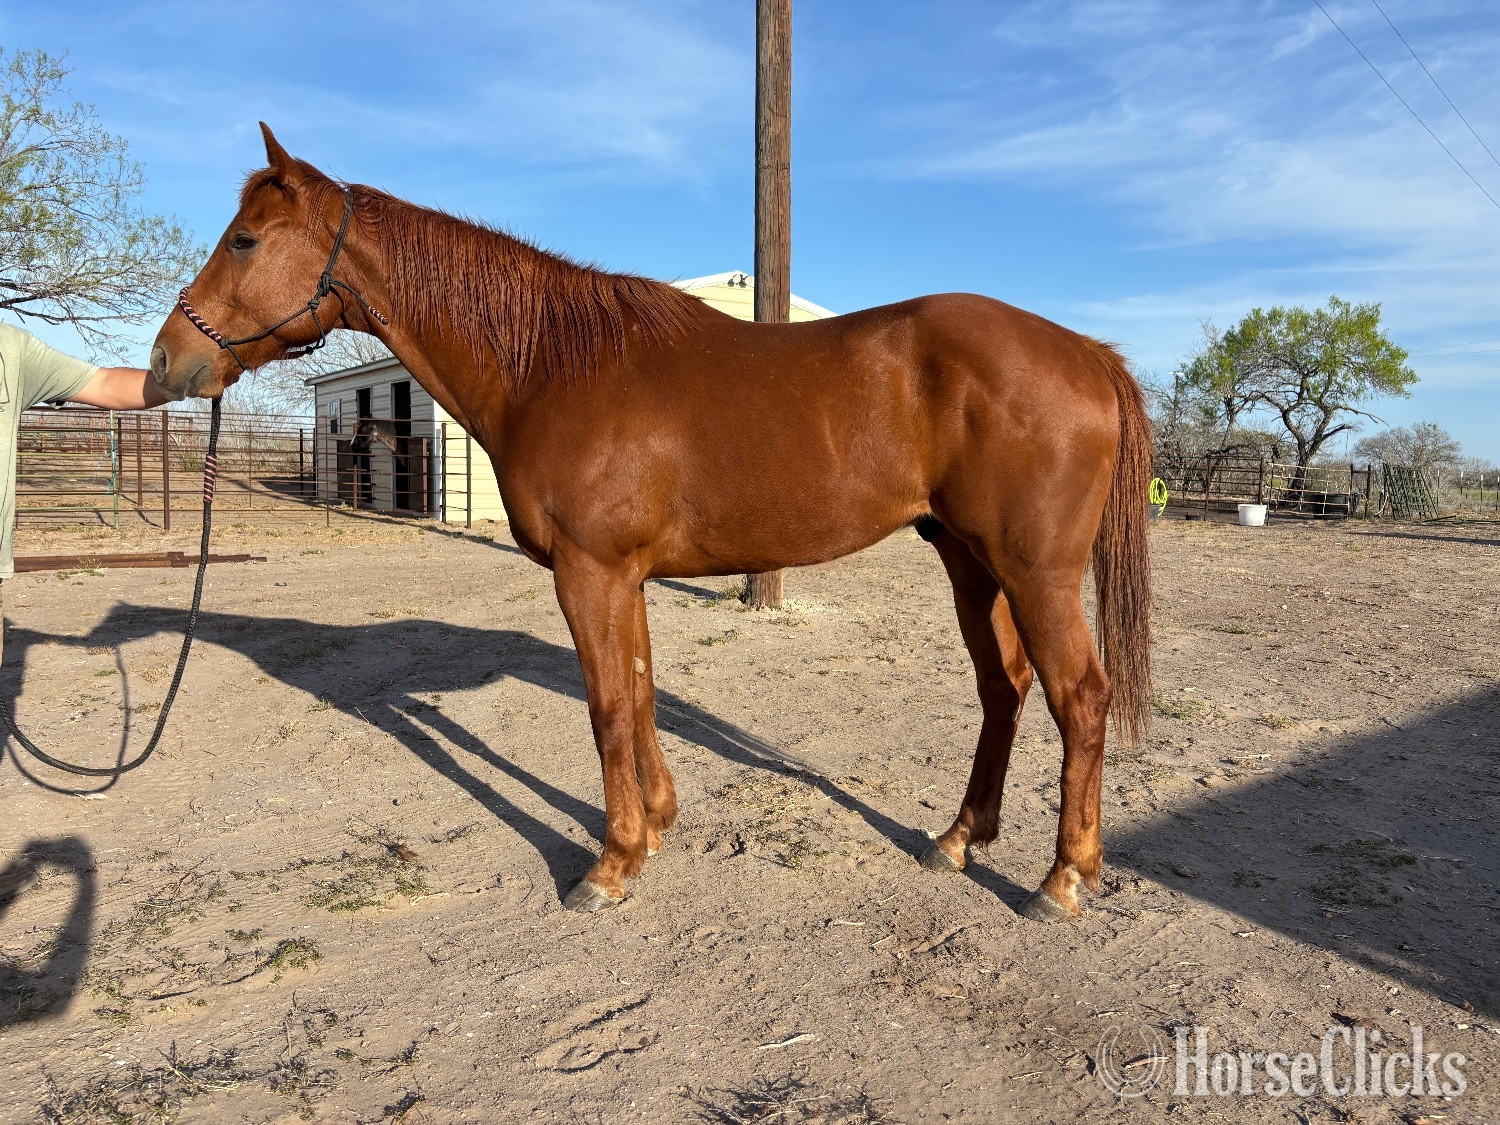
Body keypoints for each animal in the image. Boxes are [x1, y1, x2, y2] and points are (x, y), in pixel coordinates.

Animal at [151, 124, 1153, 921]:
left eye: (244, 239)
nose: (167, 362)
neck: (553, 367)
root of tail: (1086, 353)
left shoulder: (588, 571)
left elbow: (604, 706)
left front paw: (611, 863)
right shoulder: (621, 576)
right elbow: (638, 693)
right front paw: (659, 824)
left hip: (1035, 572)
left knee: (1079, 697)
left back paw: (1062, 879)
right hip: (969, 562)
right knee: (1004, 689)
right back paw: (958, 837)